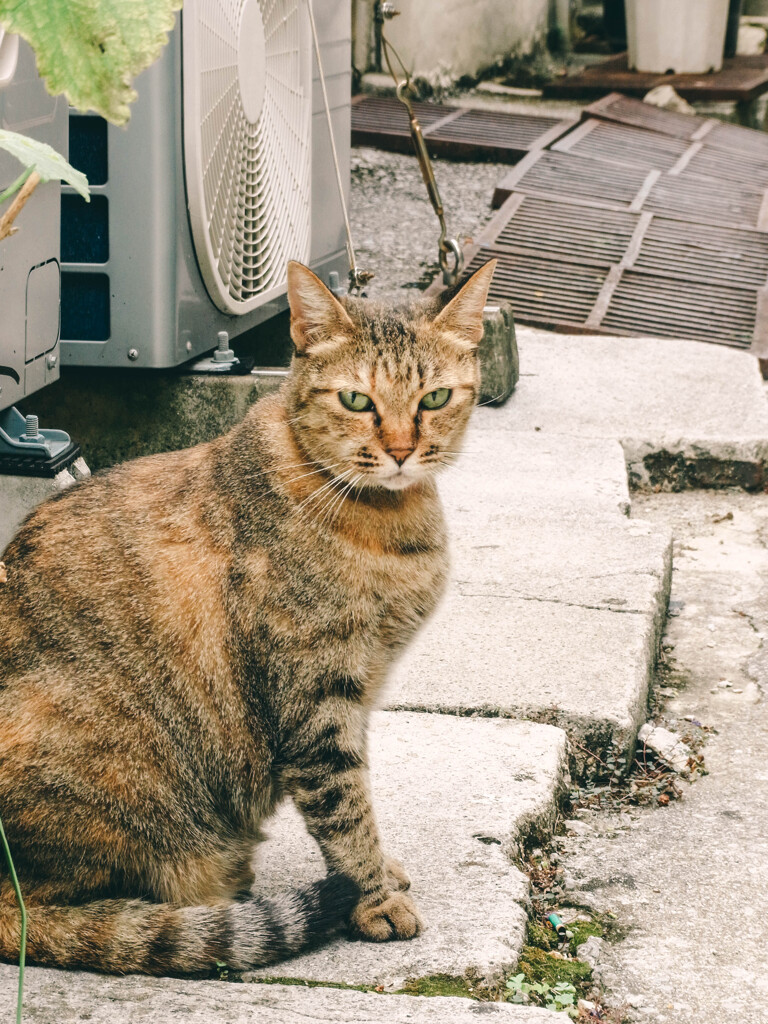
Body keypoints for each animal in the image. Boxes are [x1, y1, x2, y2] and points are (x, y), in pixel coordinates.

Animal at [0, 258, 499, 974]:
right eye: (356, 401)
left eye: (434, 399)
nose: (403, 451)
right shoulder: (316, 697)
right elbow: (345, 808)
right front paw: (374, 896)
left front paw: (382, 873)